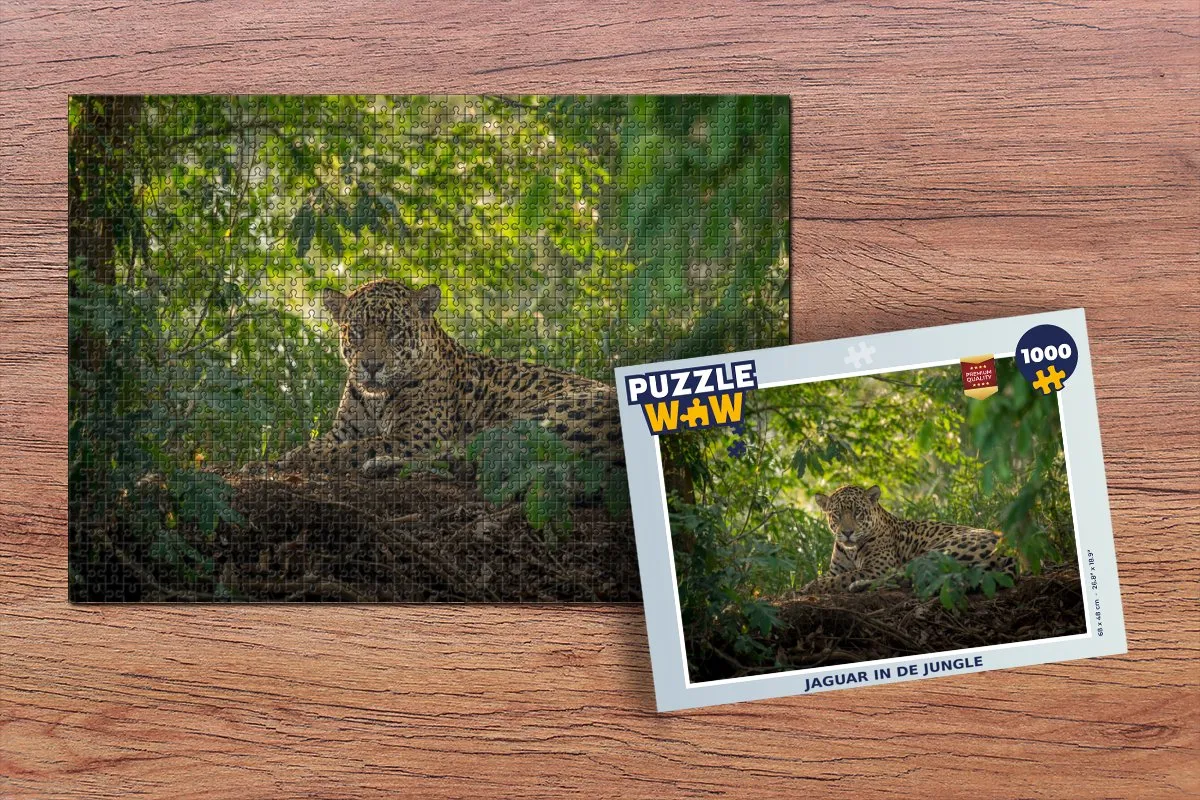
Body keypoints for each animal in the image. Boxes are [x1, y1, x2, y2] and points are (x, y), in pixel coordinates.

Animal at [276, 278, 623, 477]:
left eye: (395, 331)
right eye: (358, 331)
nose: (372, 366)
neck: (376, 400)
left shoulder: (419, 434)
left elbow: (357, 447)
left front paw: (294, 458)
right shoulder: (343, 430)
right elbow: (333, 442)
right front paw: (285, 456)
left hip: (537, 417)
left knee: (468, 457)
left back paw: (381, 464)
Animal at [800, 484, 1016, 594]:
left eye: (858, 513)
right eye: (836, 514)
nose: (847, 532)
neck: (850, 550)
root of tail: (1008, 551)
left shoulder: (877, 567)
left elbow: (842, 578)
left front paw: (808, 588)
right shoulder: (835, 570)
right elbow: (831, 576)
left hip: (937, 552)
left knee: (904, 578)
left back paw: (858, 586)